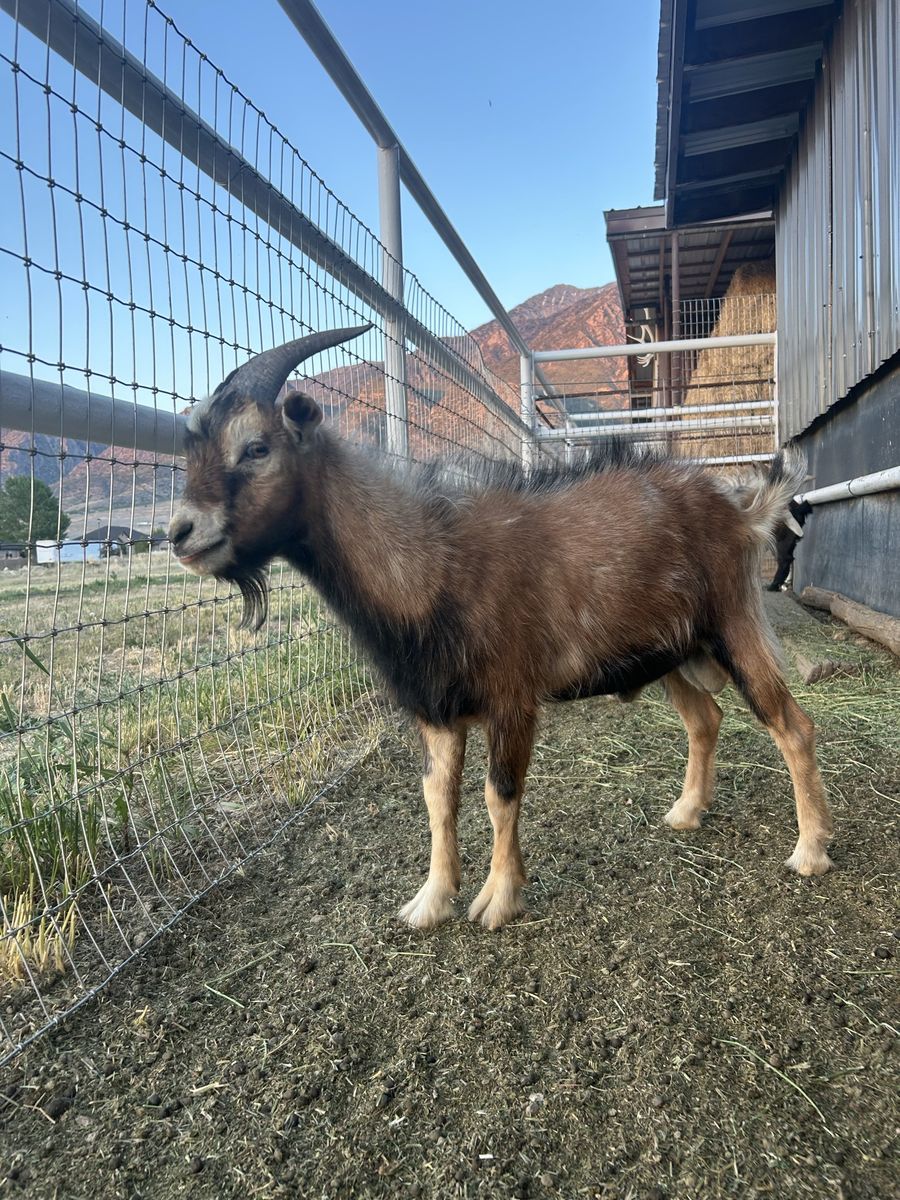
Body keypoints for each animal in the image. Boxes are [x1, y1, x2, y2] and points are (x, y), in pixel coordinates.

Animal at [169, 327, 834, 931]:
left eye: (256, 448)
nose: (180, 533)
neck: (429, 562)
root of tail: (741, 510)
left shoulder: (512, 696)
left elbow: (500, 793)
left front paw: (498, 899)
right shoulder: (436, 708)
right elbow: (438, 798)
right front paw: (431, 901)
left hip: (734, 623)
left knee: (792, 725)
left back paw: (810, 852)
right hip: (671, 651)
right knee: (706, 720)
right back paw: (687, 811)